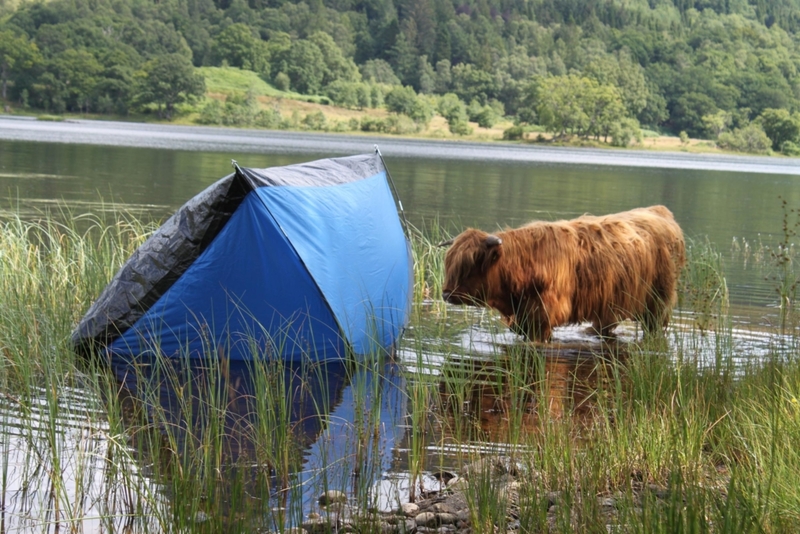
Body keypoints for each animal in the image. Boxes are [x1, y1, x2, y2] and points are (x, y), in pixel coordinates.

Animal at [440, 207, 684, 342]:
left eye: (469, 266)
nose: (445, 294)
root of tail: (659, 211)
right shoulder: (523, 319)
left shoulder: (543, 316)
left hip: (658, 301)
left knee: (654, 326)